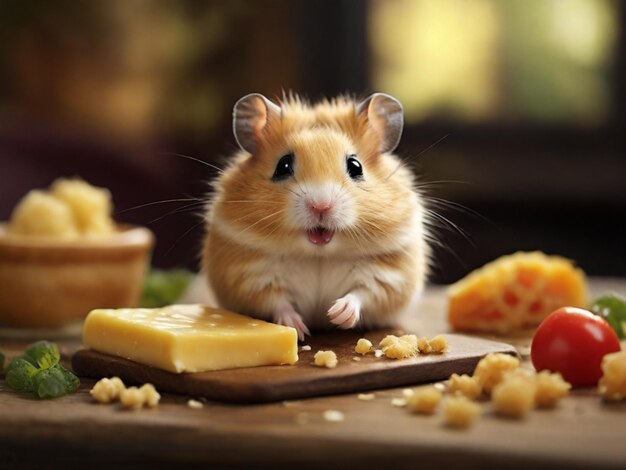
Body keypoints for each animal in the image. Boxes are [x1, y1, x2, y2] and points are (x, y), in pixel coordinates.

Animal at [201, 92, 428, 342]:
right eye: (283, 165)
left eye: (356, 166)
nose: (321, 205)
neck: (318, 254)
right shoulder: (249, 277)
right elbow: (276, 301)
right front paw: (298, 329)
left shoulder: (389, 276)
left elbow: (363, 293)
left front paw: (338, 314)